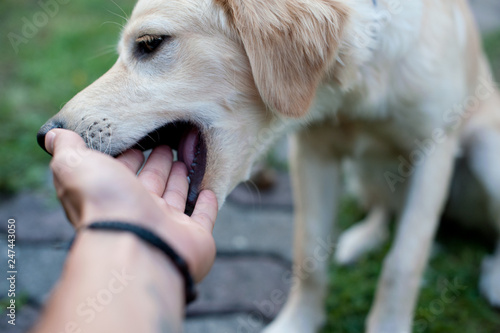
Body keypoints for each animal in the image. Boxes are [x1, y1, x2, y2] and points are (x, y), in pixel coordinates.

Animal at [38, 0, 500, 330]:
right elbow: (308, 253)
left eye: (150, 44)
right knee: (385, 210)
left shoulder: (434, 151)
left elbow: (403, 263)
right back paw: (360, 239)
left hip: (484, 149)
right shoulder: (313, 152)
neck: (355, 84)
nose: (45, 136)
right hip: (362, 176)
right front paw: (297, 323)